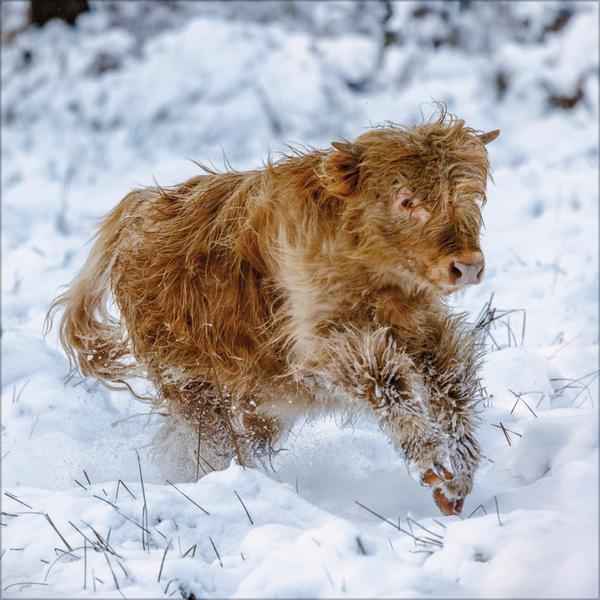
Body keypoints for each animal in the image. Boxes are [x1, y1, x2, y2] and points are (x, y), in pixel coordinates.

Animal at [49, 110, 502, 512]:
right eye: (406, 200)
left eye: (469, 196)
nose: (467, 266)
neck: (376, 280)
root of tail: (139, 208)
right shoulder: (320, 345)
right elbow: (385, 375)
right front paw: (430, 461)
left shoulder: (426, 331)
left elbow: (454, 387)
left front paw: (458, 476)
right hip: (191, 384)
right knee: (205, 444)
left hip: (258, 401)